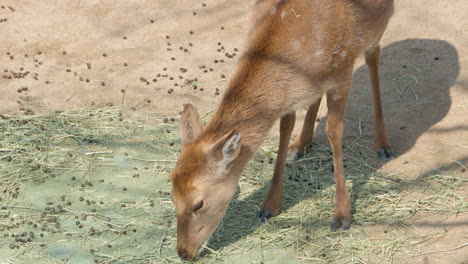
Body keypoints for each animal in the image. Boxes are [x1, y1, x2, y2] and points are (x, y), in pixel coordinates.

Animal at [170, 0, 394, 260]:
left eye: (198, 204)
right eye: (172, 196)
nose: (184, 252)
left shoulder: (342, 70)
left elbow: (334, 132)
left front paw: (341, 216)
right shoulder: (291, 96)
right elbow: (284, 131)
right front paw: (268, 206)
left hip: (375, 31)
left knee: (373, 58)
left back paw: (384, 145)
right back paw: (301, 144)